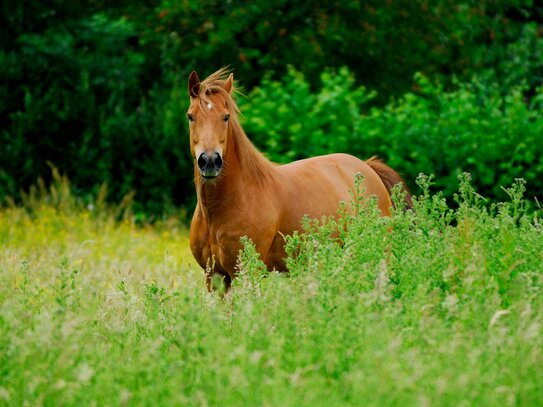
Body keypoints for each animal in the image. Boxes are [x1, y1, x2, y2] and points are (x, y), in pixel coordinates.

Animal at [187, 67, 412, 290]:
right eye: (190, 116)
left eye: (225, 117)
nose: (209, 161)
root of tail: (367, 167)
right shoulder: (214, 278)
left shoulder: (245, 273)